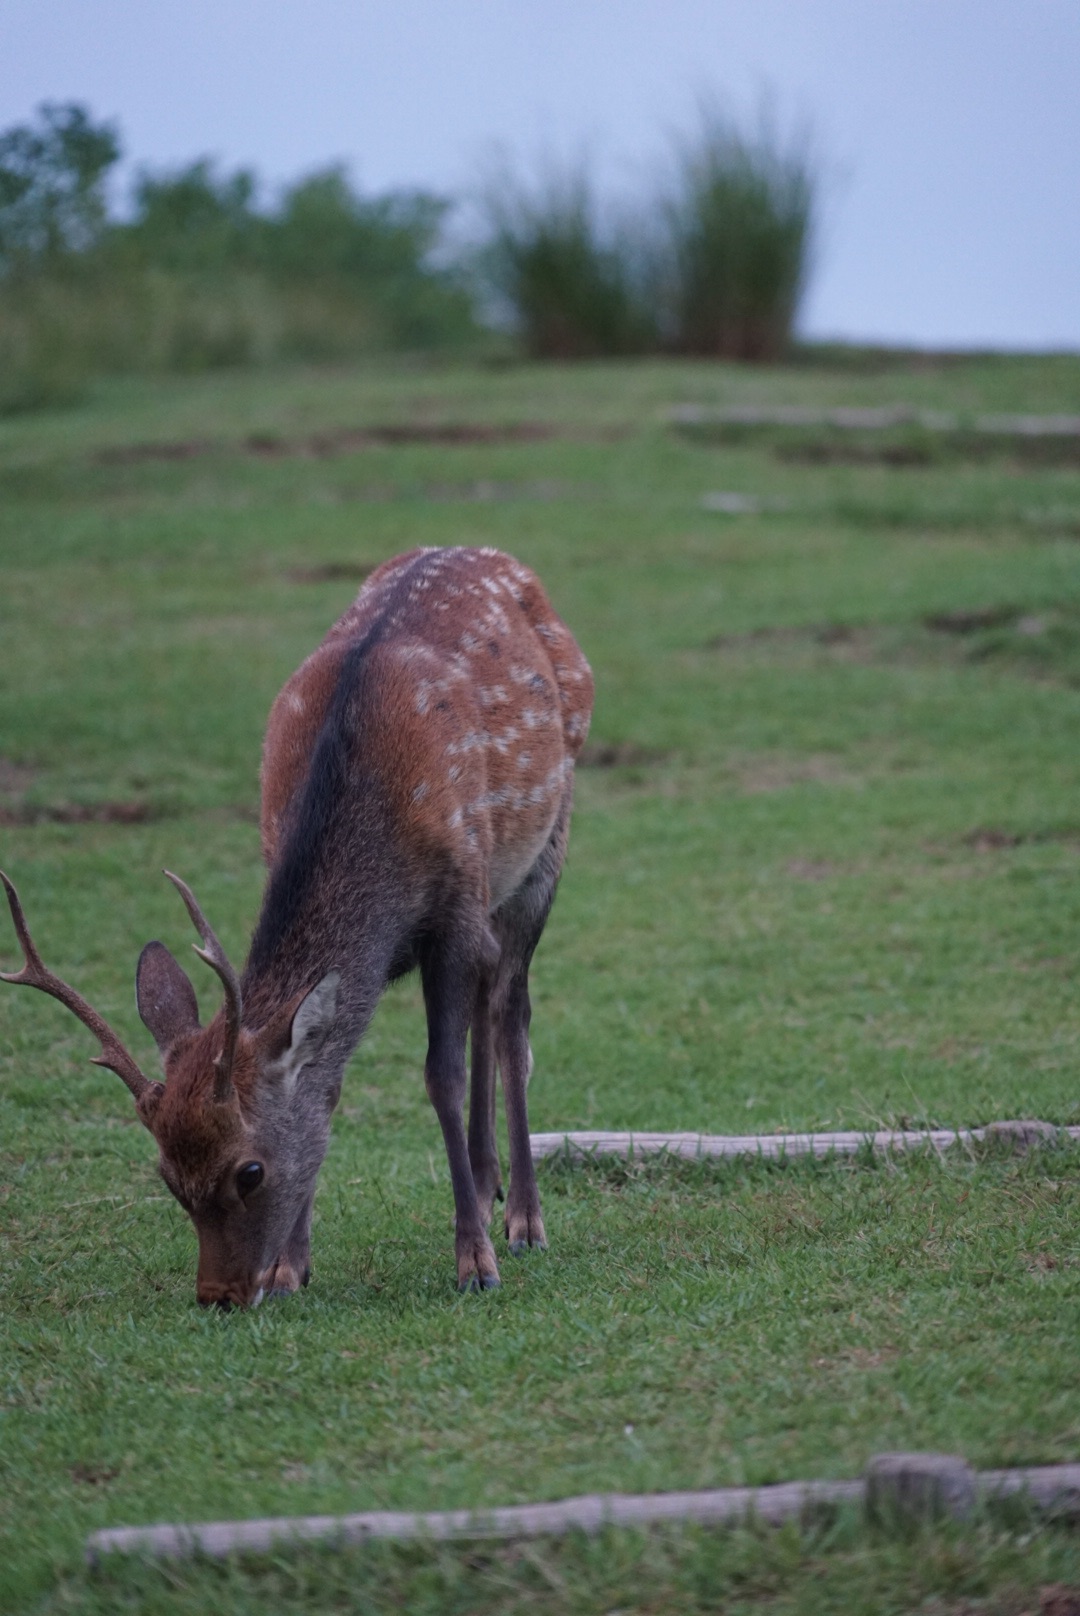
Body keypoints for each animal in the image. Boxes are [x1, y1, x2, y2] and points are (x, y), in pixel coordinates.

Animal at [0, 549, 594, 1305]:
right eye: (168, 1175)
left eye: (249, 1171)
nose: (220, 1296)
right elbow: (327, 1084)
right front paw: (291, 1268)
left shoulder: (457, 902)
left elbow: (442, 1074)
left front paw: (474, 1263)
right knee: (492, 996)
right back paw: (488, 1187)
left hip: (546, 845)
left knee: (511, 1015)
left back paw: (521, 1219)